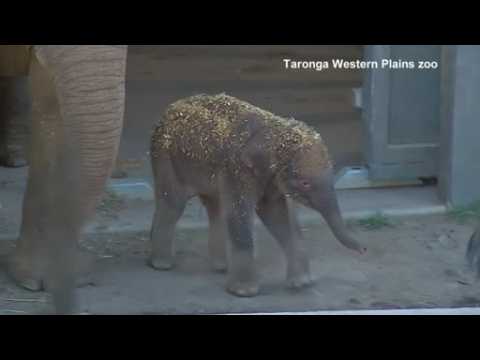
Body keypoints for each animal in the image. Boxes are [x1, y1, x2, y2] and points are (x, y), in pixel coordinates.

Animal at [148, 94, 366, 296]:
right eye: (305, 183)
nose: (364, 249)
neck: (275, 129)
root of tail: (169, 108)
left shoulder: (269, 177)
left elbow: (277, 215)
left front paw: (301, 284)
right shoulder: (236, 168)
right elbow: (242, 213)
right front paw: (244, 292)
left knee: (215, 207)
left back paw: (220, 268)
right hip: (165, 157)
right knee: (173, 203)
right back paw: (162, 264)